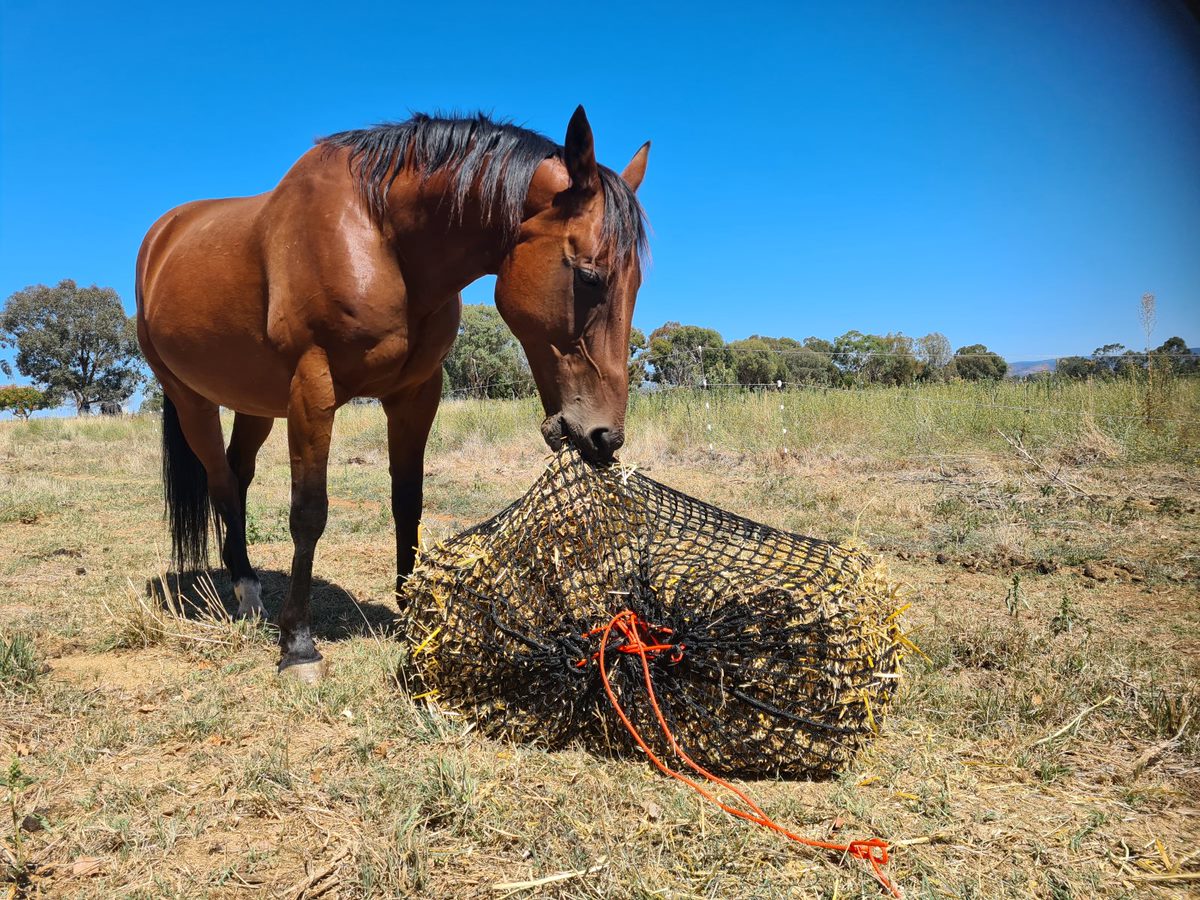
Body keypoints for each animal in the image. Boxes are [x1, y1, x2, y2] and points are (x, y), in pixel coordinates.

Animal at [136, 105, 652, 681]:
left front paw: (411, 612)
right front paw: (298, 646)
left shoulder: (414, 394)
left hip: (257, 404)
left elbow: (409, 501)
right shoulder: (312, 389)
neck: (382, 238)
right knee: (222, 483)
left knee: (238, 473)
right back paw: (247, 594)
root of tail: (162, 237)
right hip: (191, 400)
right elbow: (308, 513)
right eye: (588, 276)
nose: (605, 437)